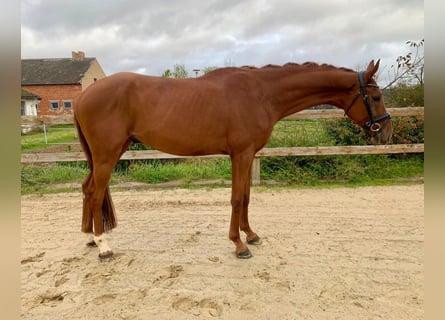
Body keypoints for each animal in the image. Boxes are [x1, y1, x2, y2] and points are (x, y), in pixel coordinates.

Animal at [73, 59, 392, 260]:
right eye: (376, 97)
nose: (386, 132)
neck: (261, 94)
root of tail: (83, 96)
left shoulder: (248, 155)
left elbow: (247, 197)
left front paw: (251, 234)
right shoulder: (241, 154)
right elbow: (237, 198)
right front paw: (239, 245)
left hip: (108, 153)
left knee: (87, 188)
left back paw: (90, 237)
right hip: (107, 155)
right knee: (95, 192)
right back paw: (104, 247)